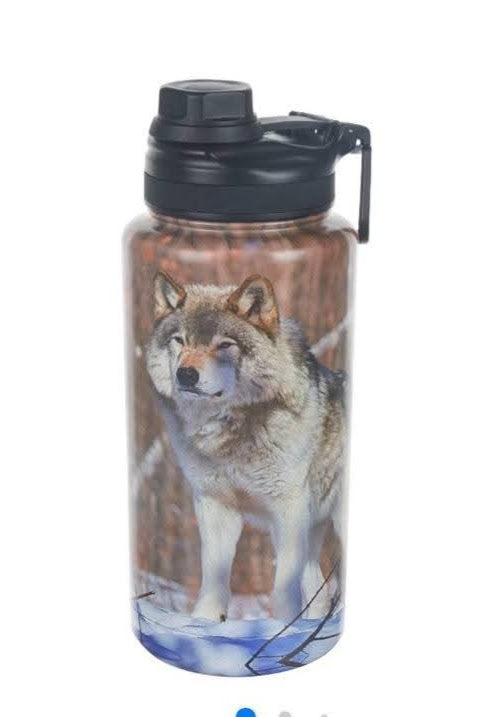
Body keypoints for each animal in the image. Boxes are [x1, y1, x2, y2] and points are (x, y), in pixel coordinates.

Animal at [146, 270, 346, 622]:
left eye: (224, 345)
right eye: (180, 340)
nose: (186, 375)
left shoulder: (288, 507)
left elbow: (282, 586)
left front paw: (280, 628)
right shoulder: (215, 505)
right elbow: (213, 578)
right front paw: (204, 624)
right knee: (319, 592)